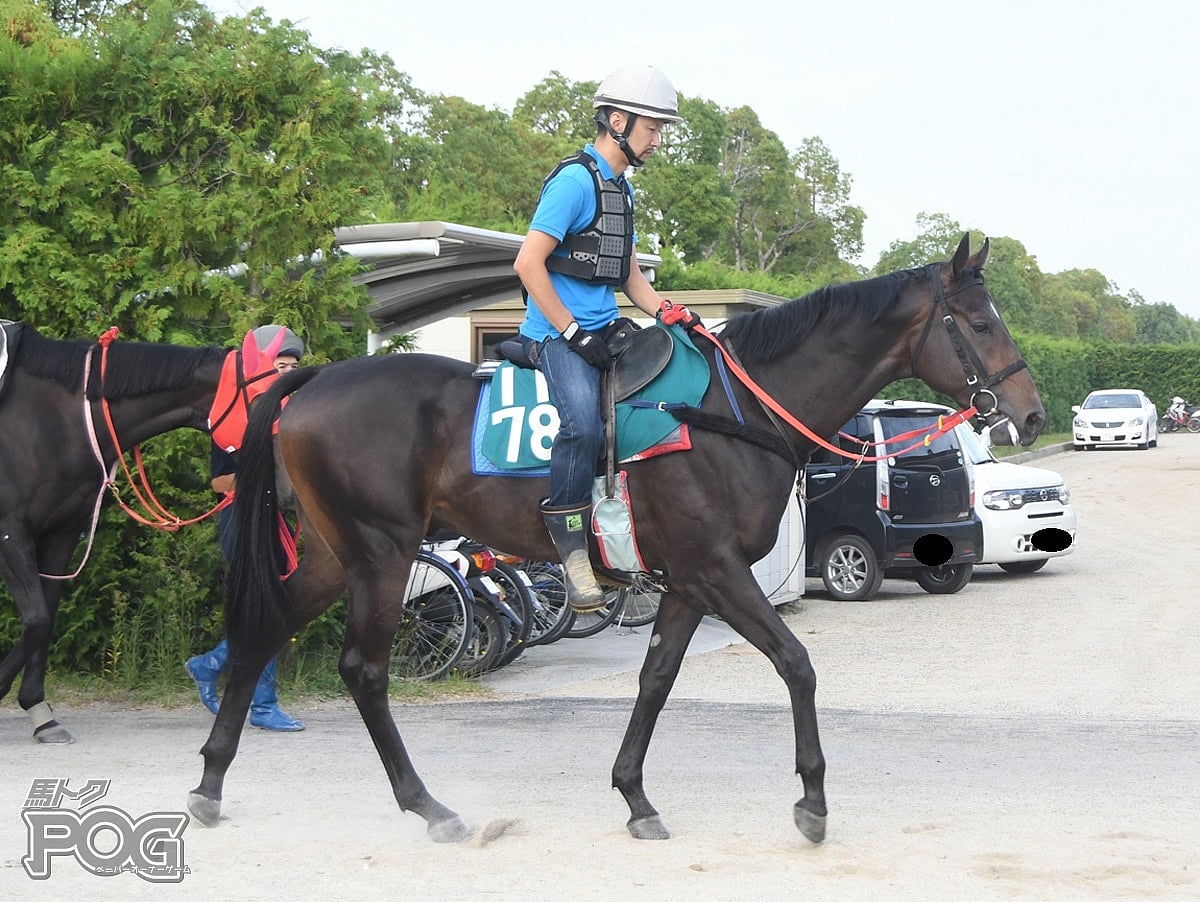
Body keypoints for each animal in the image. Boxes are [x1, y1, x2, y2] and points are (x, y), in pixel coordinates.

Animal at [192, 236, 1046, 844]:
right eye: (978, 322)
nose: (1032, 412)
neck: (732, 410)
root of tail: (315, 379)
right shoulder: (717, 569)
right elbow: (796, 665)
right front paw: (812, 799)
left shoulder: (690, 581)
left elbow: (656, 679)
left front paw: (635, 795)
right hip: (380, 552)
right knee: (363, 670)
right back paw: (426, 805)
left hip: (335, 554)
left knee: (262, 631)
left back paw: (210, 782)